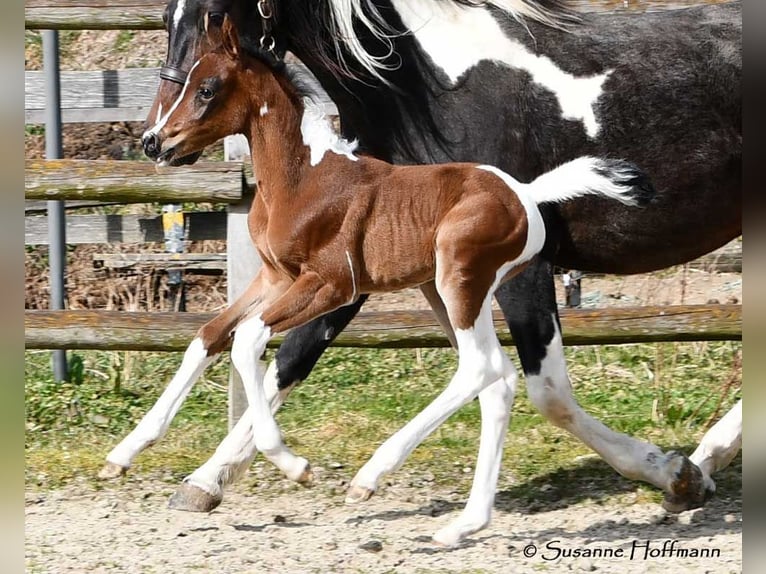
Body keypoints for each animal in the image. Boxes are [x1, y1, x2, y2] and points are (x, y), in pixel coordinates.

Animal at [103, 0, 741, 522]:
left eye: (212, 17)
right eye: (165, 17)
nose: (154, 139)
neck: (426, 88)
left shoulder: (374, 277)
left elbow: (550, 391)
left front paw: (669, 473)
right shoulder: (338, 275)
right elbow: (259, 348)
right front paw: (194, 475)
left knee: (493, 371)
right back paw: (710, 457)